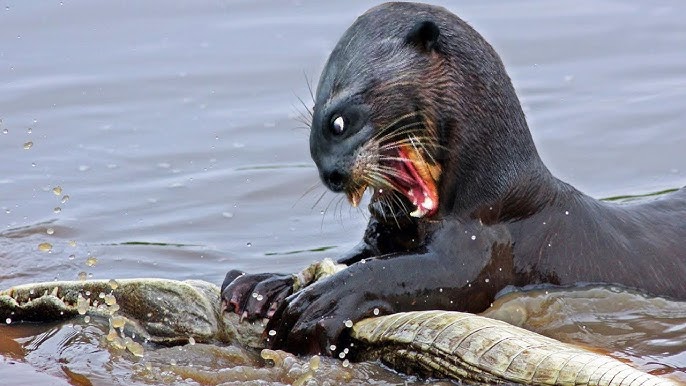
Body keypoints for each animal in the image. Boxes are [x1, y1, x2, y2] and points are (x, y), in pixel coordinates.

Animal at [222, 1, 686, 356]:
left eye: (338, 122)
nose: (330, 174)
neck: (490, 196)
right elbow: (361, 255)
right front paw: (261, 285)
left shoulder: (483, 246)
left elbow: (414, 274)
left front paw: (322, 302)